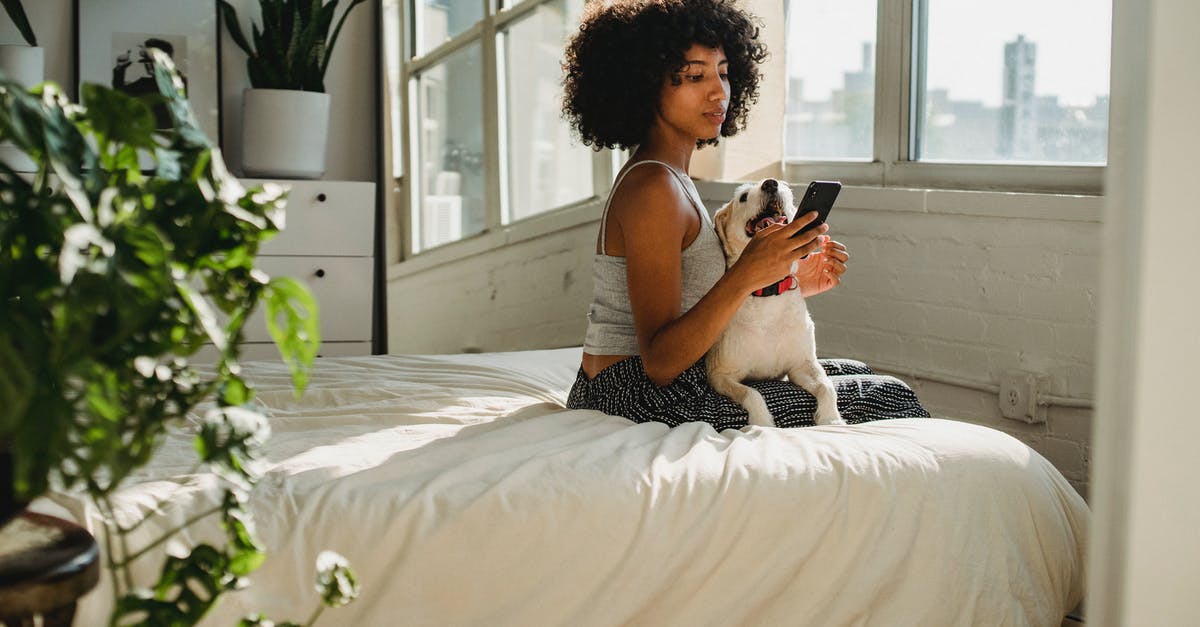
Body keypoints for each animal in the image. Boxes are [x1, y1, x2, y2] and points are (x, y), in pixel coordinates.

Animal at [705, 177, 840, 427]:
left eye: (784, 186)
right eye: (743, 197)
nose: (770, 183)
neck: (769, 295)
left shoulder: (802, 365)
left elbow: (827, 387)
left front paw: (831, 419)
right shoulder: (720, 375)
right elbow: (752, 393)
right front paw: (762, 423)